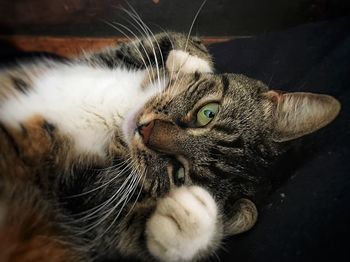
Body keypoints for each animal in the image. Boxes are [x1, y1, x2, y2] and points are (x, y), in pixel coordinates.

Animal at [0, 31, 340, 262]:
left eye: (179, 175)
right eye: (207, 113)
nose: (144, 129)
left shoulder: (76, 195)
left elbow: (112, 228)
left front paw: (189, 222)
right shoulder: (102, 60)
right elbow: (158, 43)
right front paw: (188, 63)